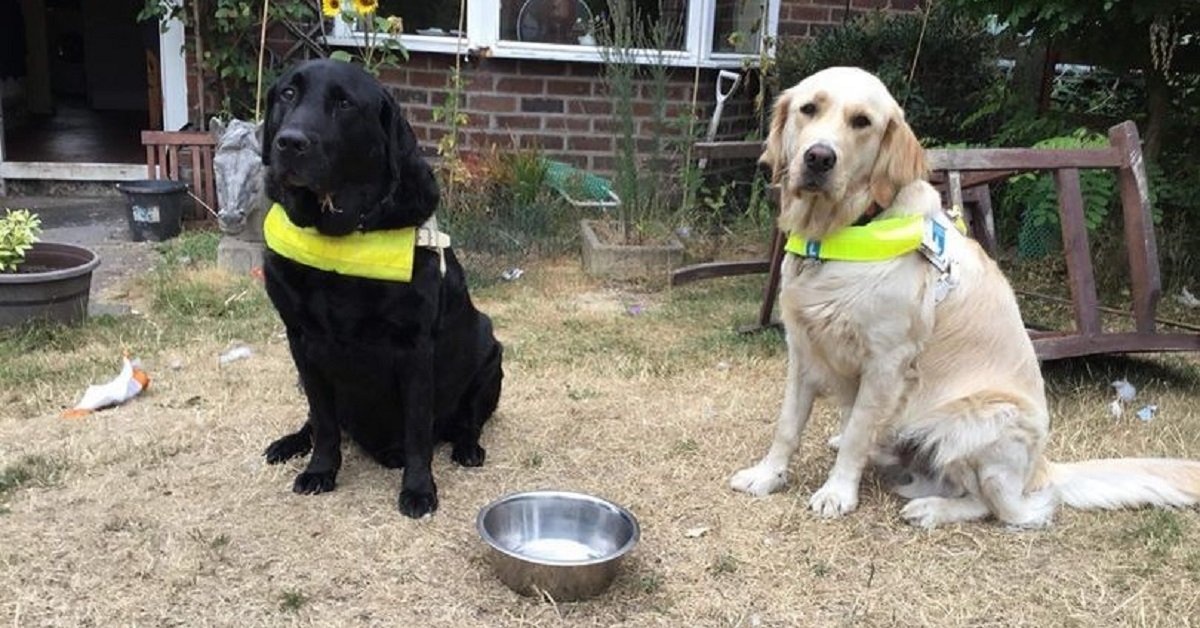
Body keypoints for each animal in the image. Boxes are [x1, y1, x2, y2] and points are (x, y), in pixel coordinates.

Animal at [260, 58, 504, 518]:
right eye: (287, 93)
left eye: (344, 103)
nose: (290, 142)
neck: (337, 238)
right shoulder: (300, 340)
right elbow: (323, 420)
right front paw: (320, 470)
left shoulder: (415, 347)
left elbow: (417, 431)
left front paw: (419, 490)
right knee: (316, 419)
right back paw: (290, 443)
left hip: (490, 357)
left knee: (468, 422)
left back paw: (466, 448)